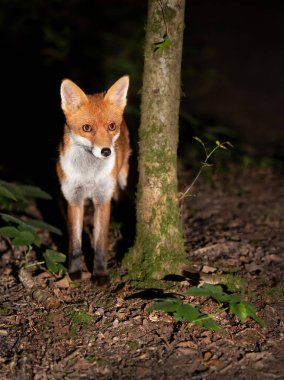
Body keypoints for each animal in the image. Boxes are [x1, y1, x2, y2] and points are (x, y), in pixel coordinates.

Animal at [55, 75, 131, 280]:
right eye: (87, 128)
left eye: (111, 126)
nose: (106, 151)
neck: (89, 175)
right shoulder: (74, 199)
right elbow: (75, 244)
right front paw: (75, 272)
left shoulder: (103, 199)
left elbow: (100, 244)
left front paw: (100, 274)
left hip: (122, 180)